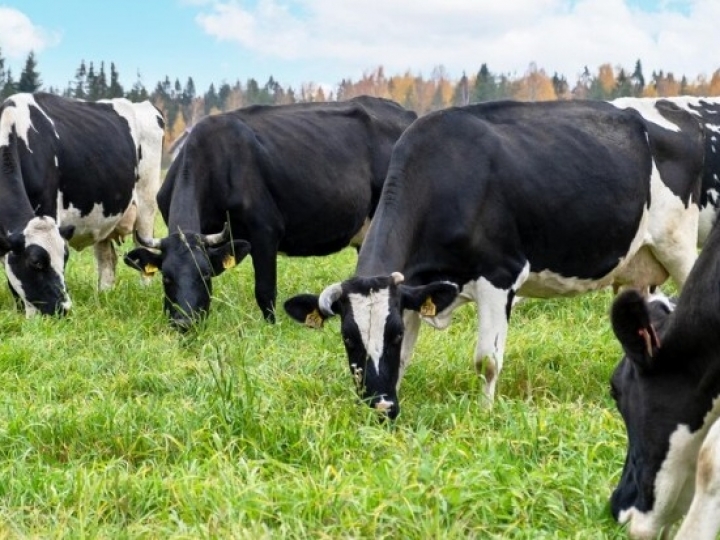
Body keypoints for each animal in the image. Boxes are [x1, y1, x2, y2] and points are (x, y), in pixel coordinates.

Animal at [0, 92, 164, 316]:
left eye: (65, 258)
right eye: (36, 263)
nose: (64, 309)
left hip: (147, 204)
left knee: (143, 253)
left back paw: (143, 292)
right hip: (104, 216)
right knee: (107, 259)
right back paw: (104, 295)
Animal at [122, 96, 417, 330]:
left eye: (205, 275)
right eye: (166, 277)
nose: (185, 322)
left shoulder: (264, 230)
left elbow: (265, 290)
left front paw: (271, 328)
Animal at [283, 99, 703, 420]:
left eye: (393, 333)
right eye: (347, 337)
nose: (381, 407)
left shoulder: (499, 276)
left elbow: (486, 361)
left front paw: (485, 416)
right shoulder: (415, 289)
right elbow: (402, 360)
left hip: (679, 247)